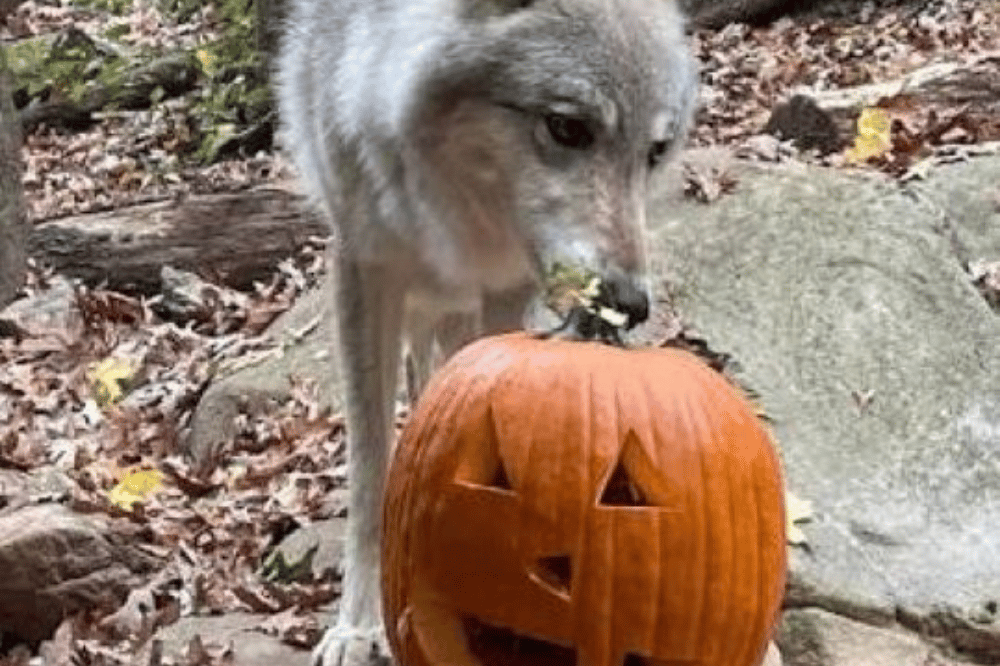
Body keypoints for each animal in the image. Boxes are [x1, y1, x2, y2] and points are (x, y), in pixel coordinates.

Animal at [276, 1, 697, 664]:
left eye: (654, 151)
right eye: (567, 128)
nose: (629, 303)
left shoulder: (504, 286)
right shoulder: (365, 270)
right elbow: (369, 473)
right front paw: (358, 627)